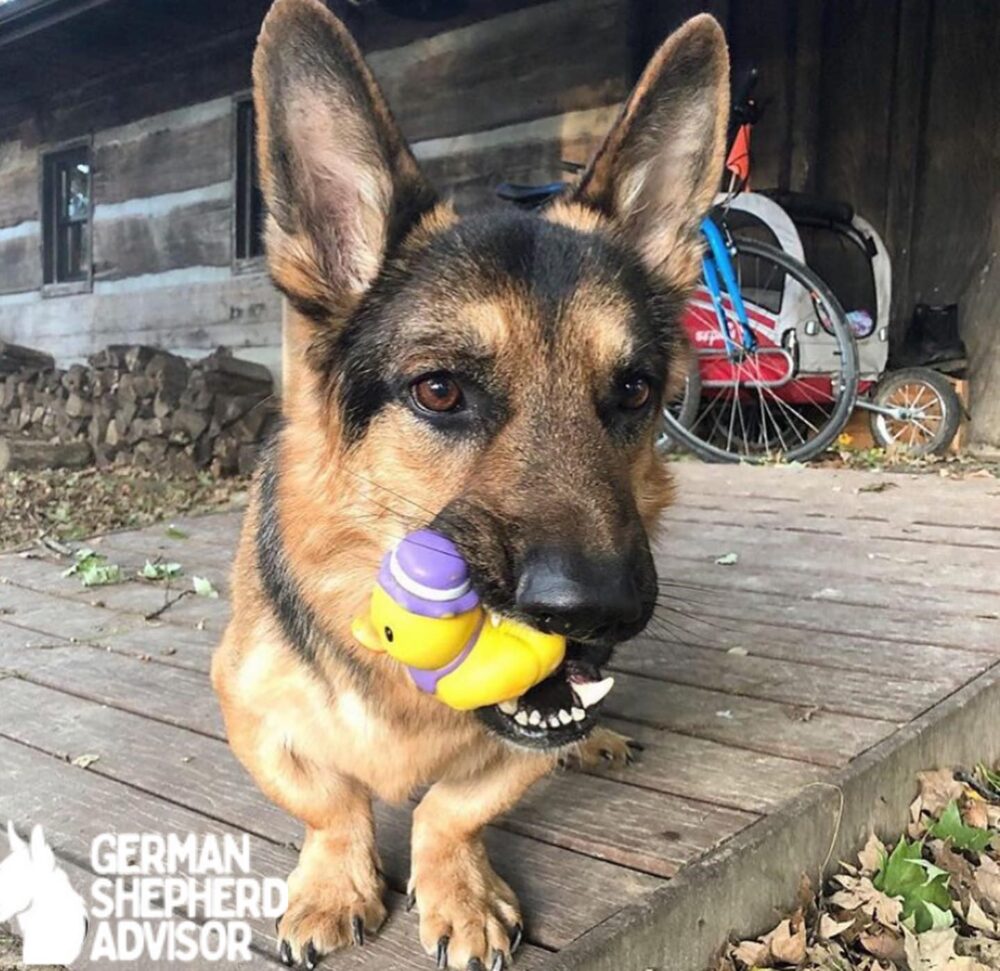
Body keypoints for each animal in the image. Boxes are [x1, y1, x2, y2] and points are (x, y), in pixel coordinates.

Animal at [213, 3, 728, 968]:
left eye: (635, 390)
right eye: (441, 390)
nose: (600, 613)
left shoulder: (516, 744)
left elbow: (456, 807)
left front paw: (456, 883)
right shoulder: (247, 707)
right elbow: (329, 799)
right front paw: (337, 878)